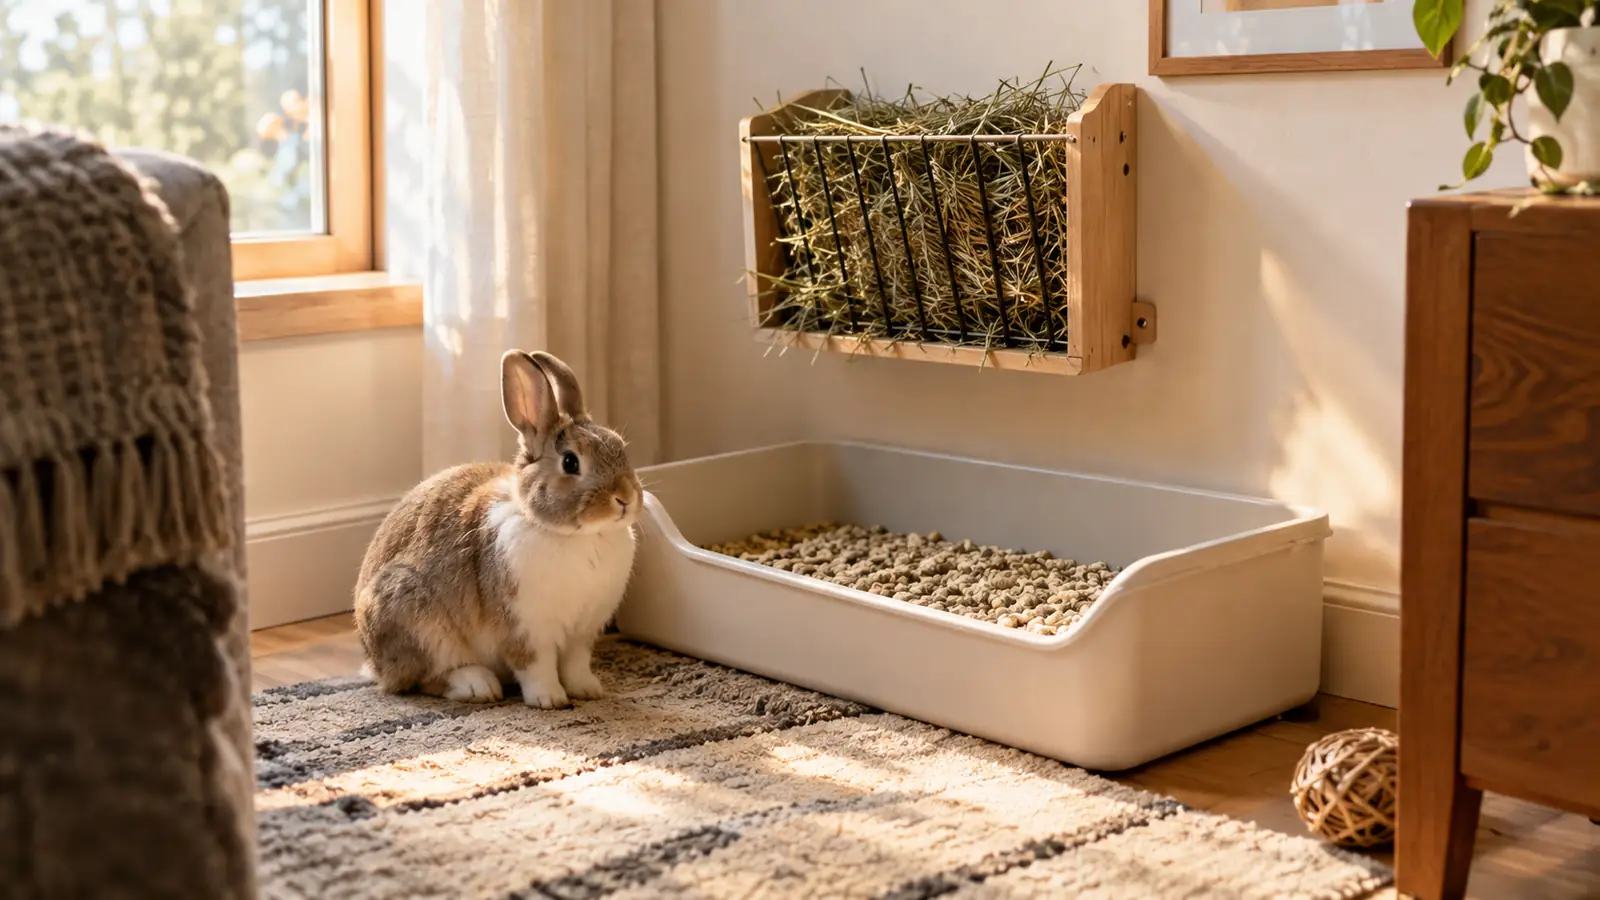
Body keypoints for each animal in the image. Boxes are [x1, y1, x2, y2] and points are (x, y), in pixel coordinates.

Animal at [353, 349, 643, 709]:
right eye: (571, 462)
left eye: (620, 446)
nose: (625, 498)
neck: (577, 535)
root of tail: (372, 661)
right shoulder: (525, 629)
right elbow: (536, 666)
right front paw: (549, 699)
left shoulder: (582, 633)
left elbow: (575, 664)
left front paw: (589, 690)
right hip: (418, 622)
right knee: (423, 678)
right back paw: (478, 685)